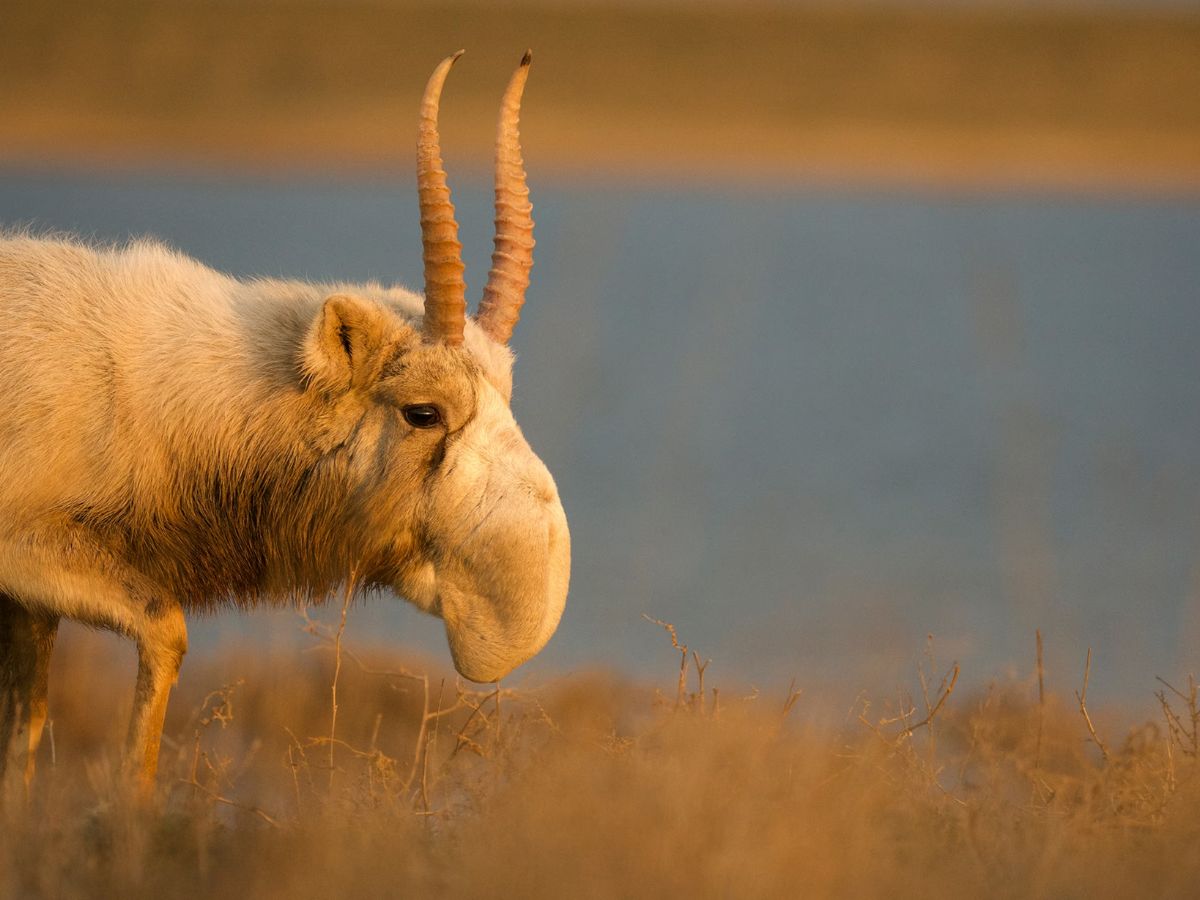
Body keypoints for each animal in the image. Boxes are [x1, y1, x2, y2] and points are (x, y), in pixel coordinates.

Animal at [0, 51, 569, 793]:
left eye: (506, 392)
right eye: (423, 412)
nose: (532, 606)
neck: (134, 378)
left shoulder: (29, 604)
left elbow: (24, 739)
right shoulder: (27, 556)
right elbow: (164, 636)